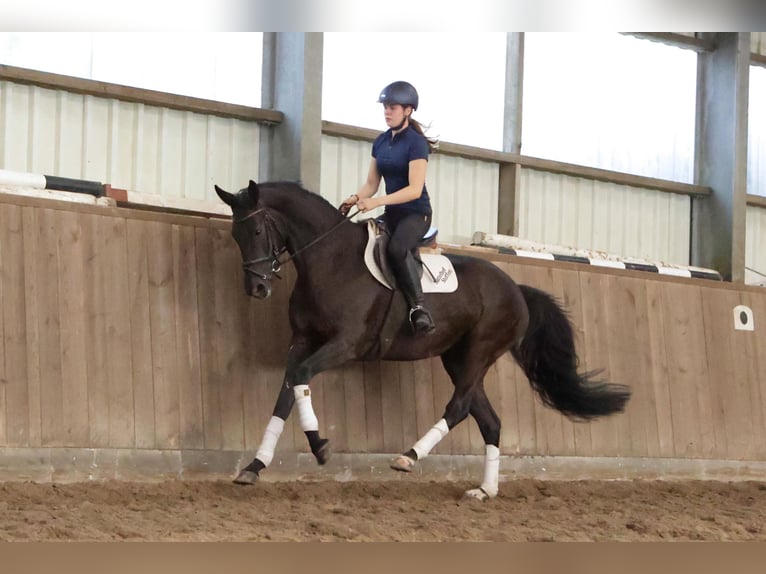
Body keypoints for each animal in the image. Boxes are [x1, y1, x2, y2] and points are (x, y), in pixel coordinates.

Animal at [214, 182, 632, 502]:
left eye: (256, 232)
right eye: (235, 235)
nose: (256, 289)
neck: (330, 262)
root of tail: (516, 289)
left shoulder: (347, 344)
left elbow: (300, 377)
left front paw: (320, 447)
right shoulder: (301, 341)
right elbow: (285, 395)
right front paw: (254, 466)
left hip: (479, 351)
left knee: (459, 407)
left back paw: (408, 457)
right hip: (459, 359)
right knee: (489, 421)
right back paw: (484, 491)